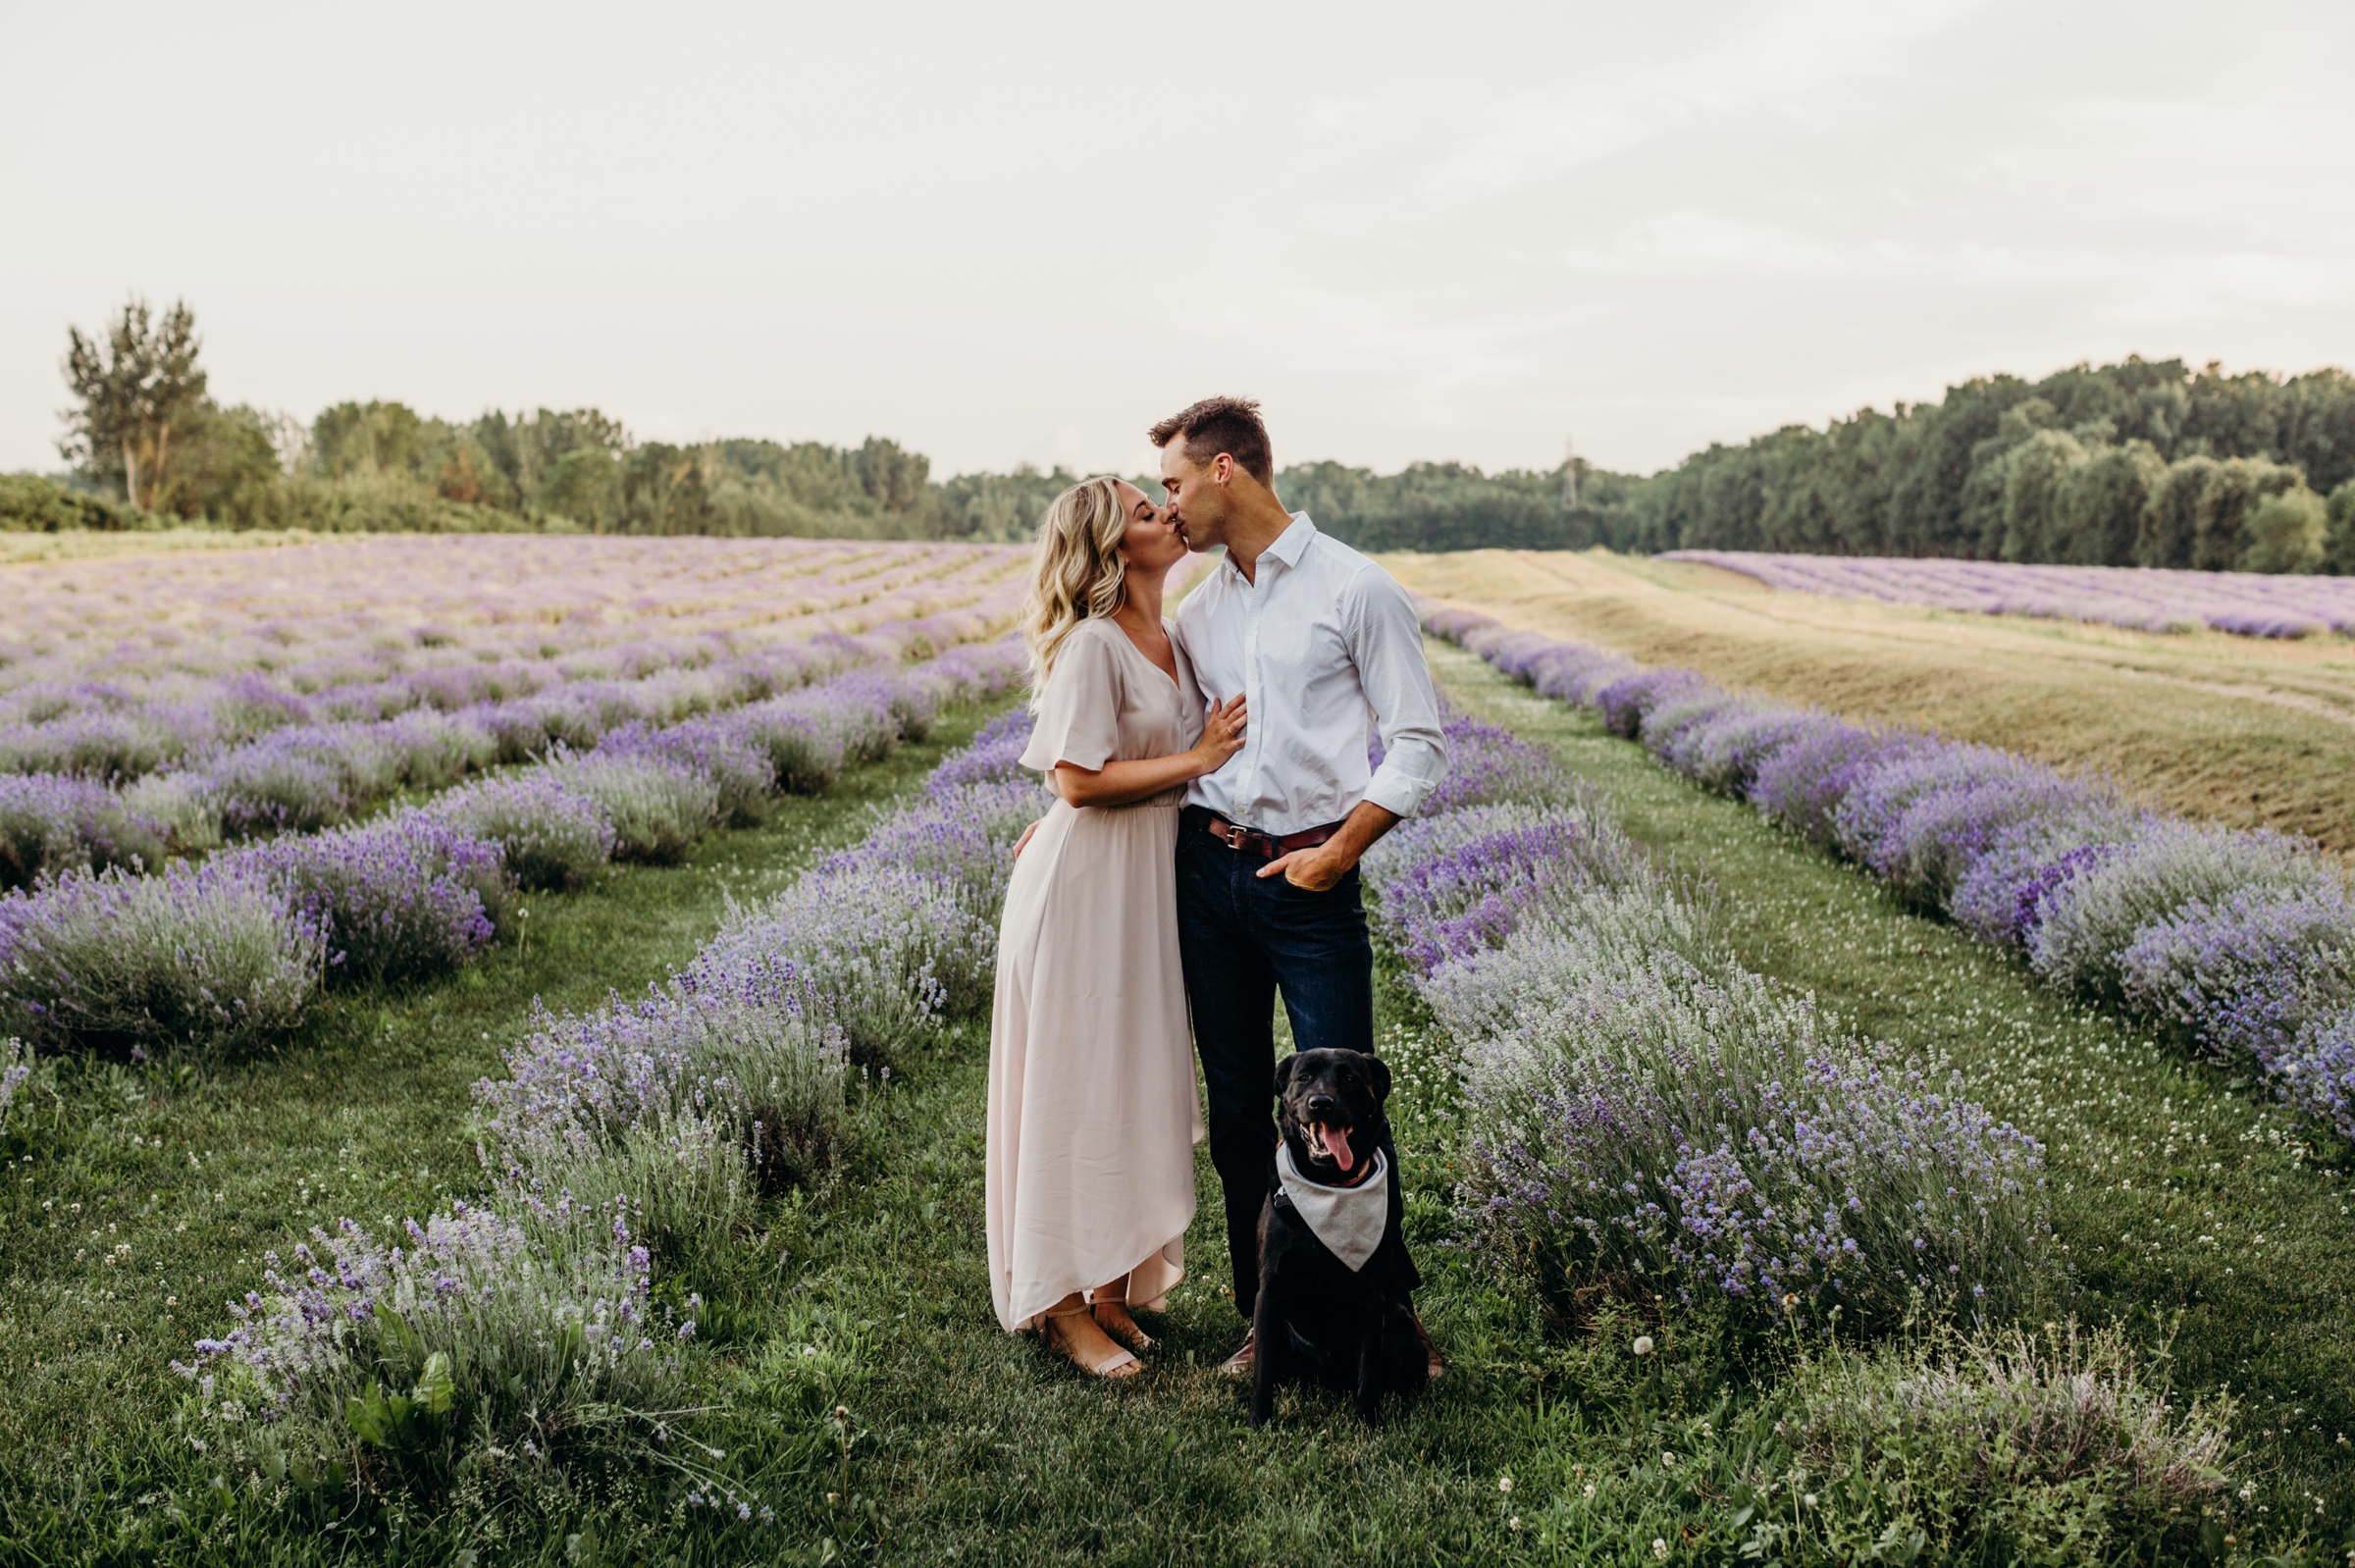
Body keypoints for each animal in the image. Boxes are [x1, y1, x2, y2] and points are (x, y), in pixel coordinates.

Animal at [1262, 1045, 1422, 1422]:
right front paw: (1256, 1423)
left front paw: (1367, 1425)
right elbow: (1262, 1375)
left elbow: (1369, 1378)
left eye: (1349, 1078)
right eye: (1304, 1077)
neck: (1327, 1188)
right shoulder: (1270, 1290)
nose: (1321, 1102)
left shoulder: (1371, 1299)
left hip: (1402, 1327)